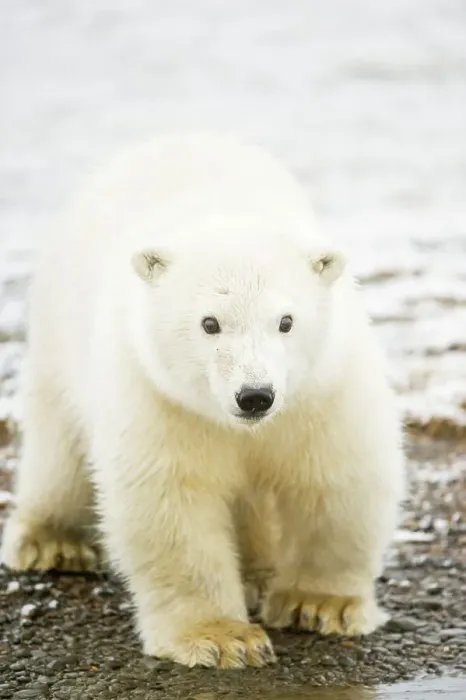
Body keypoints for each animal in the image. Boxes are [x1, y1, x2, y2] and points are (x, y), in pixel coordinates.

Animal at [1, 132, 405, 669]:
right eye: (209, 323)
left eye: (286, 321)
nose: (255, 396)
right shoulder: (160, 399)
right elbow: (172, 502)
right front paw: (222, 637)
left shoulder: (321, 391)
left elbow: (336, 478)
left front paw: (318, 606)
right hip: (59, 327)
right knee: (59, 441)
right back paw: (54, 543)